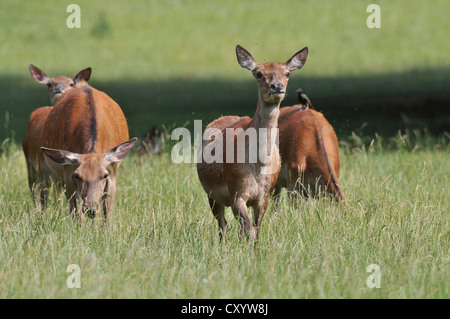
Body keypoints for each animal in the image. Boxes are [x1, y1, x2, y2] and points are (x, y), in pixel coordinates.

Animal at [198, 44, 310, 240]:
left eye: (287, 73)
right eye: (258, 73)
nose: (277, 86)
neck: (258, 165)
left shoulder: (264, 195)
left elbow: (256, 230)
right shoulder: (237, 192)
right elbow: (249, 229)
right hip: (211, 193)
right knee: (222, 225)